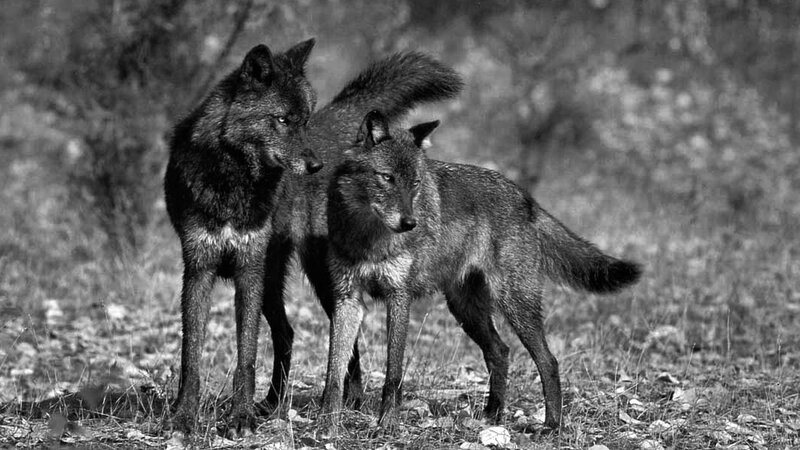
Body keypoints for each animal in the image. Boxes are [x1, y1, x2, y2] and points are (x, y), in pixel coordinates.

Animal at [163, 38, 319, 436]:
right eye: (282, 120)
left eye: (306, 120)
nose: (316, 165)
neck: (234, 179)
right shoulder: (198, 269)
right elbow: (191, 356)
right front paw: (183, 416)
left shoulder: (249, 270)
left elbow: (247, 354)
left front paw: (241, 417)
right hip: (270, 283)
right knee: (286, 332)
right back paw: (273, 403)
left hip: (287, 276)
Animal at [320, 110, 642, 430]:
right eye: (387, 178)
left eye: (415, 182)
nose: (410, 223)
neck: (368, 238)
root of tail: (525, 197)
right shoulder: (347, 299)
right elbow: (334, 370)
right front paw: (328, 423)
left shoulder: (399, 297)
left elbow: (393, 372)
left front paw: (386, 423)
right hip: (466, 310)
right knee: (500, 352)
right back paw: (493, 415)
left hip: (514, 304)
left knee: (548, 361)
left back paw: (551, 426)